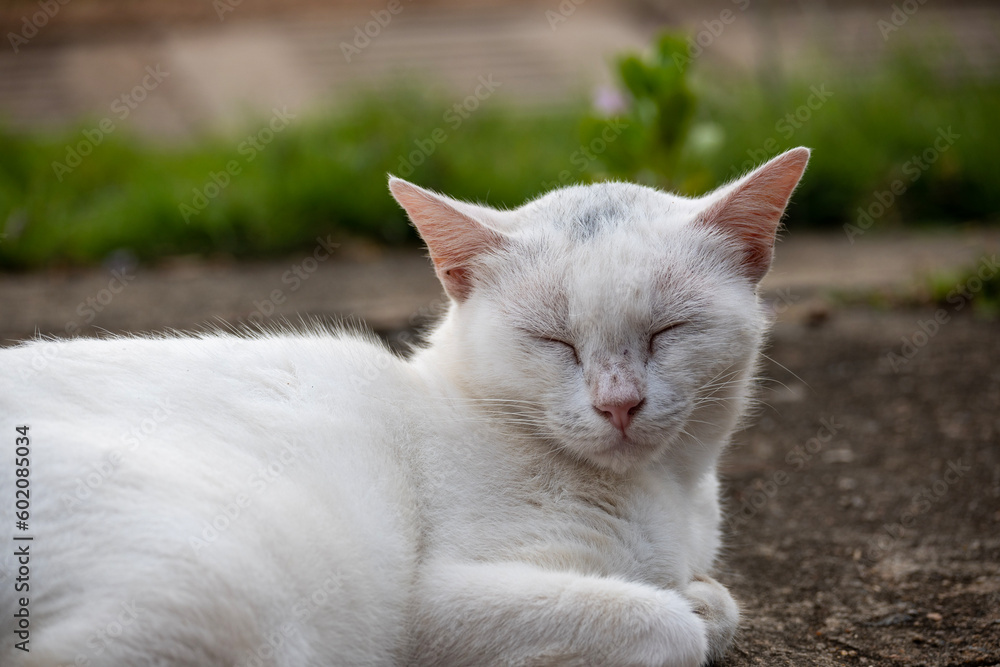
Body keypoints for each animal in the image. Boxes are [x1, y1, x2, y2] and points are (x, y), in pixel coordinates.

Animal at [0, 147, 808, 667]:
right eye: (555, 341)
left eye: (668, 331)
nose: (619, 404)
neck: (667, 490)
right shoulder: (435, 607)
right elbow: (667, 622)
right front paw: (685, 609)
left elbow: (715, 600)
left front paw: (703, 595)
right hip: (219, 585)